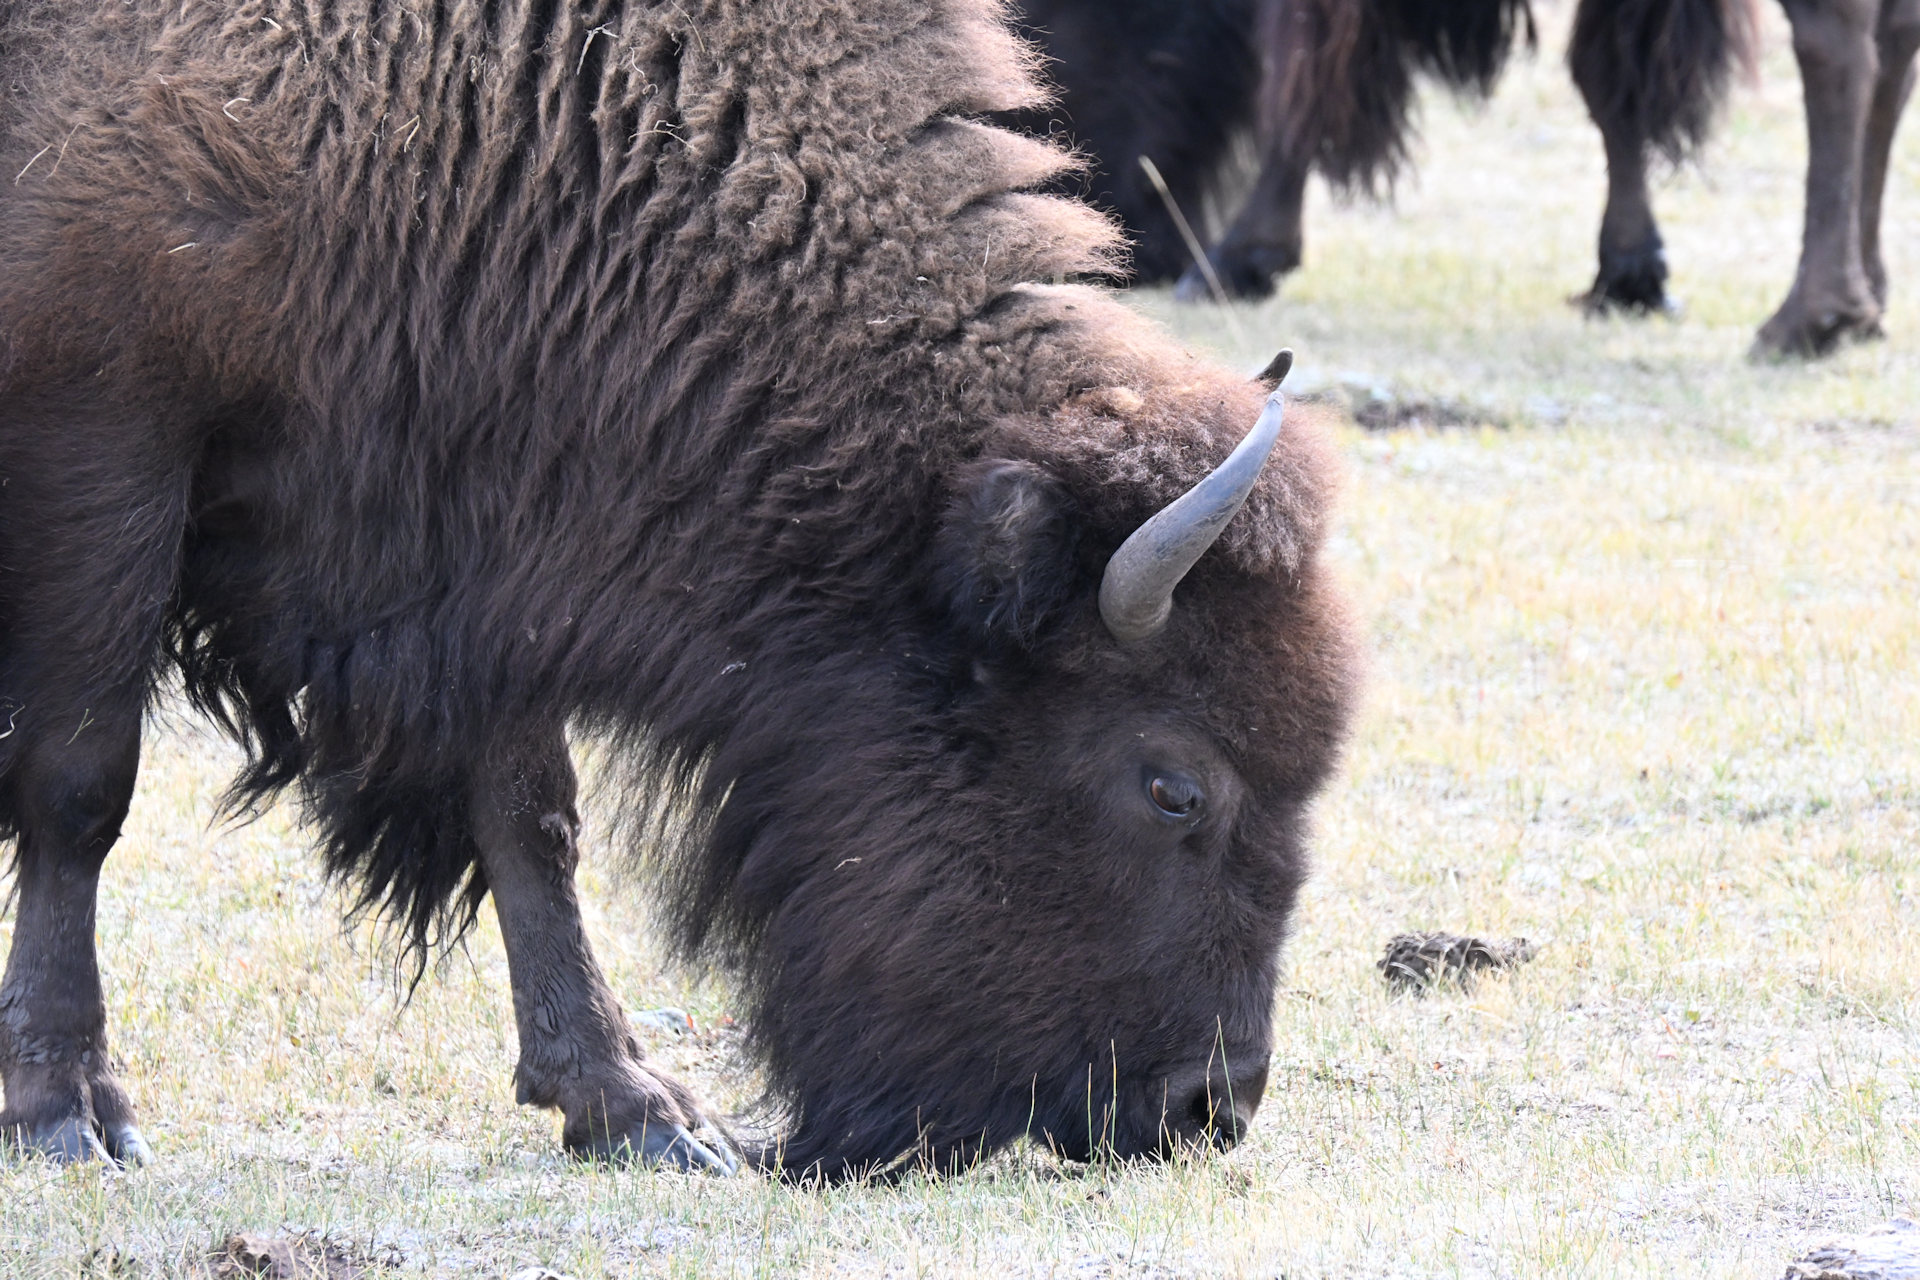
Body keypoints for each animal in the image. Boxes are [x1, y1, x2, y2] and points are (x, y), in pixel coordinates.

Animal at [0, 0, 1358, 1180]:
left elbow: (532, 813)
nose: (1208, 1104)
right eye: (1174, 784)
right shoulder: (108, 439)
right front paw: (69, 1107)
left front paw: (636, 1105)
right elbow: (82, 784)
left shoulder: (474, 536)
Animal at [1013, 0, 1918, 356]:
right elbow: (1609, 88)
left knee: (1836, 41)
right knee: (1891, 41)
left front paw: (1238, 260)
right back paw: (1869, 297)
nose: (1128, 249)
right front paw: (1628, 276)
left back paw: (1807, 319)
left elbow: (1302, 78)